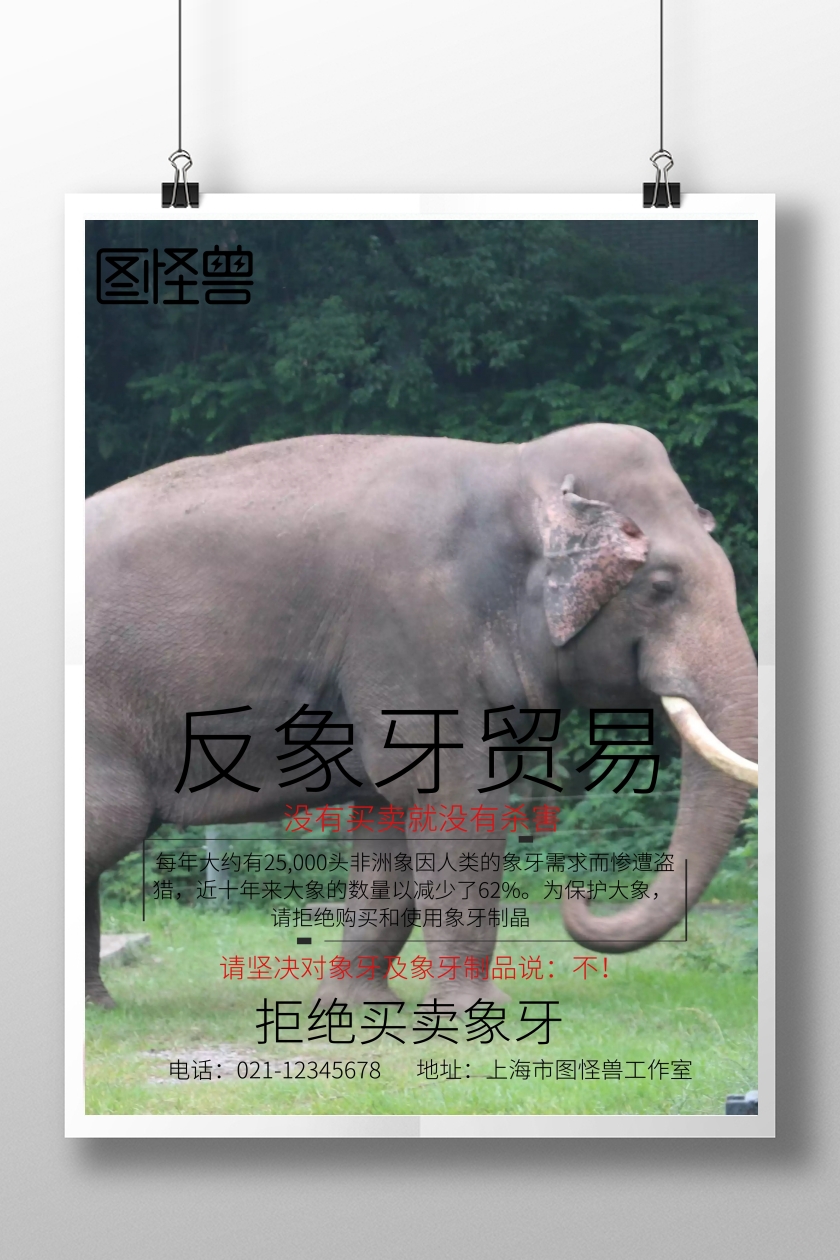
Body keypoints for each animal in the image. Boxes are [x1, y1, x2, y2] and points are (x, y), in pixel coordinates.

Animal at [84, 422, 758, 1008]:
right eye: (661, 587)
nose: (579, 891)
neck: (517, 468)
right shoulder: (413, 625)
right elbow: (454, 795)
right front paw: (478, 1012)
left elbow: (388, 812)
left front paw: (357, 1006)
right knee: (111, 823)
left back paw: (99, 1007)